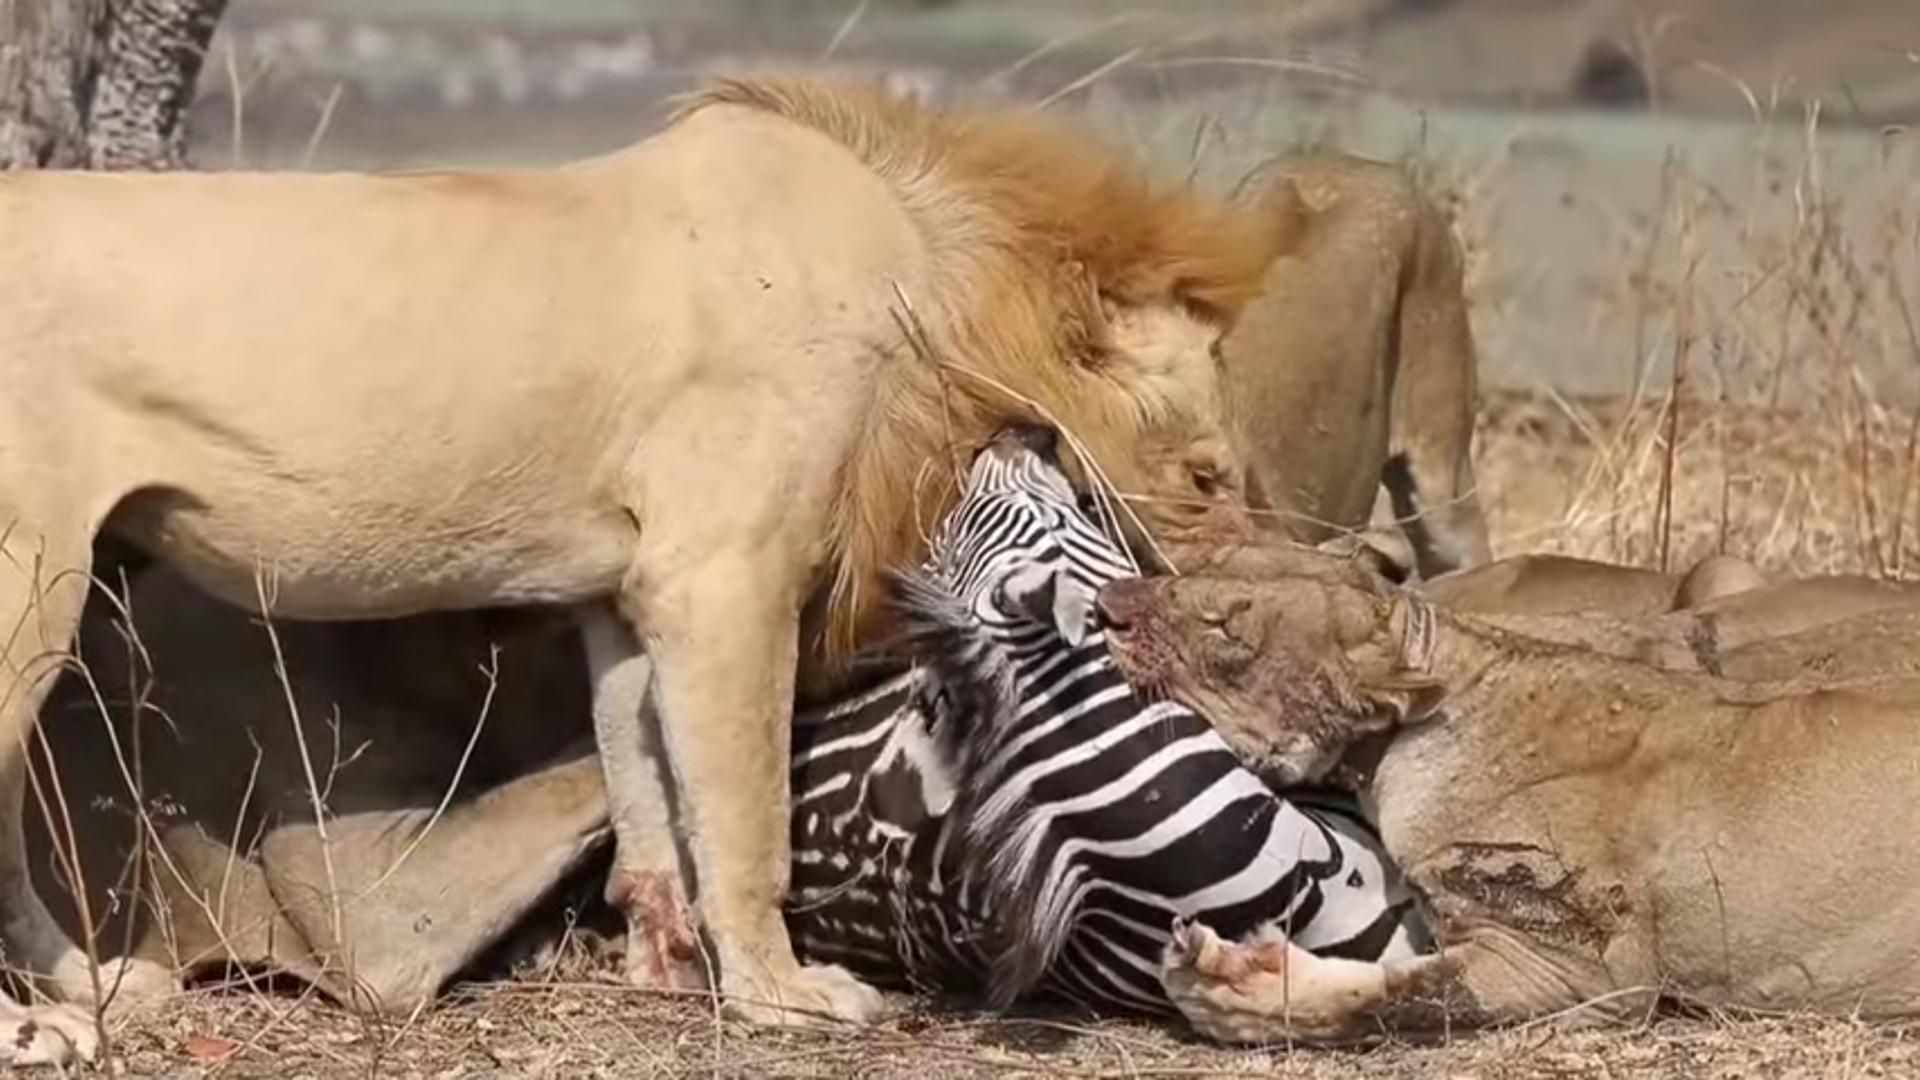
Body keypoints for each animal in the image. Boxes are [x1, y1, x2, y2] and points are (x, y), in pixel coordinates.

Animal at [0, 71, 1282, 1053]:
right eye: (1208, 476)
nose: (1208, 614)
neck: (924, 276)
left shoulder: (624, 592)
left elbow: (648, 781)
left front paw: (665, 959)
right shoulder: (725, 574)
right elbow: (748, 808)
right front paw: (781, 993)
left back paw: (98, 989)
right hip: (29, 583)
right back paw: (39, 1025)